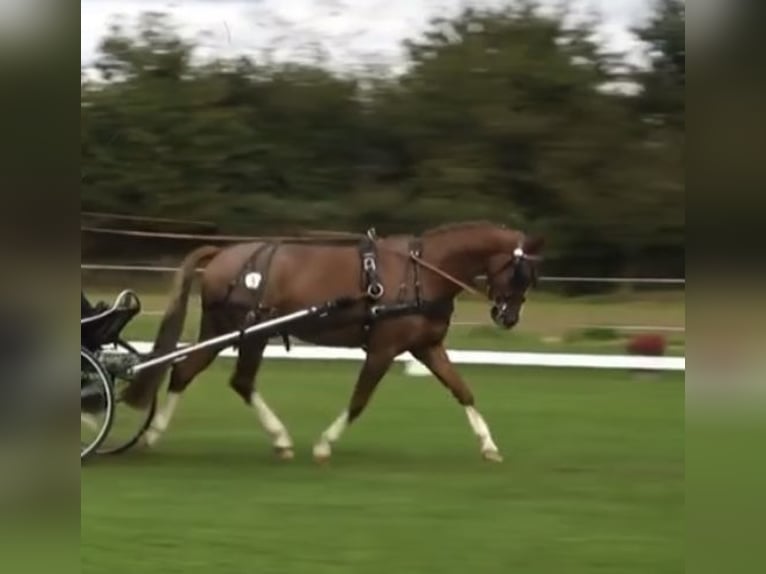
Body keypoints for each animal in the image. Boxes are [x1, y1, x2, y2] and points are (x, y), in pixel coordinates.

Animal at [126, 223, 544, 466]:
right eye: (519, 273)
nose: (508, 318)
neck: (421, 272)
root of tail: (224, 253)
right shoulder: (382, 350)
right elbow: (359, 400)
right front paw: (325, 445)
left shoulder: (426, 347)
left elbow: (463, 391)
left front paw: (488, 446)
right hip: (247, 332)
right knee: (227, 378)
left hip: (230, 331)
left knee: (191, 371)